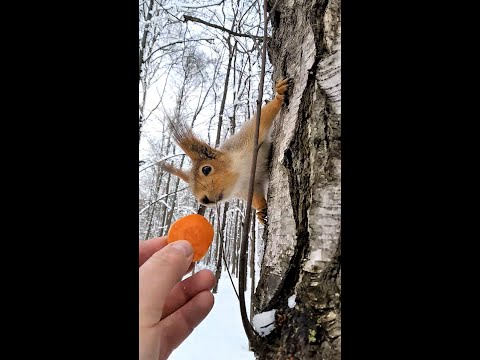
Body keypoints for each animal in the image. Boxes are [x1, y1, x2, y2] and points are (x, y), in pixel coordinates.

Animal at [162, 78, 288, 225]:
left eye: (206, 169)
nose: (203, 200)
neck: (240, 174)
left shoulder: (248, 137)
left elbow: (262, 117)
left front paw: (278, 95)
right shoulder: (248, 187)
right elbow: (256, 198)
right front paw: (261, 212)